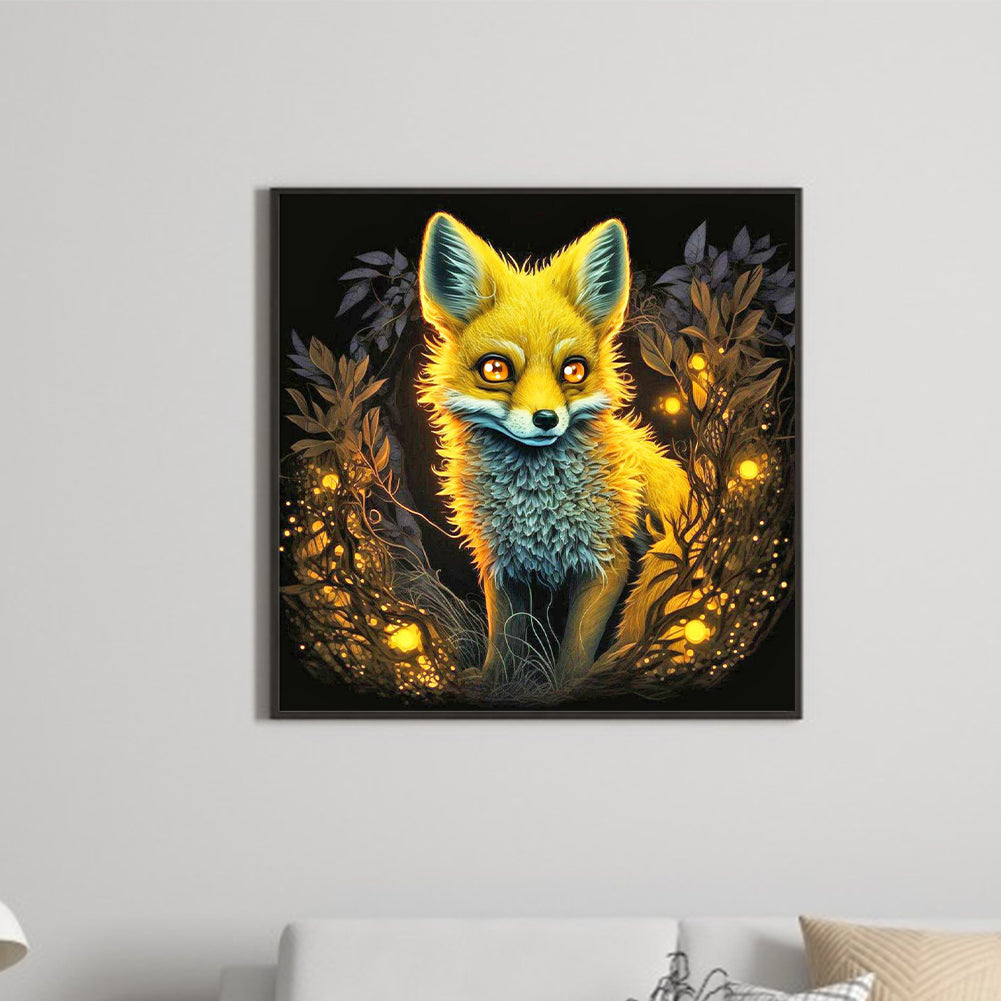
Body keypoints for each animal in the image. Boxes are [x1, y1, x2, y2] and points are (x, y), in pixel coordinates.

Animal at [417, 212, 690, 685]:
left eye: (573, 370)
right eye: (495, 368)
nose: (546, 419)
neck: (536, 505)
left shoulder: (606, 561)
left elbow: (576, 653)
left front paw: (567, 689)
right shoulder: (503, 563)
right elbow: (504, 641)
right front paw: (495, 684)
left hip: (660, 561)